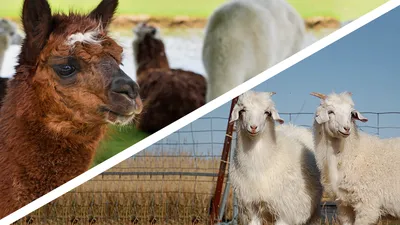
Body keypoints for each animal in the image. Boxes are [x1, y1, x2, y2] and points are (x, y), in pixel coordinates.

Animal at [231, 90, 322, 225]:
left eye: (267, 112)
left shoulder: (285, 212)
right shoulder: (251, 207)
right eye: (243, 110)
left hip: (311, 208)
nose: (253, 127)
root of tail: (293, 126)